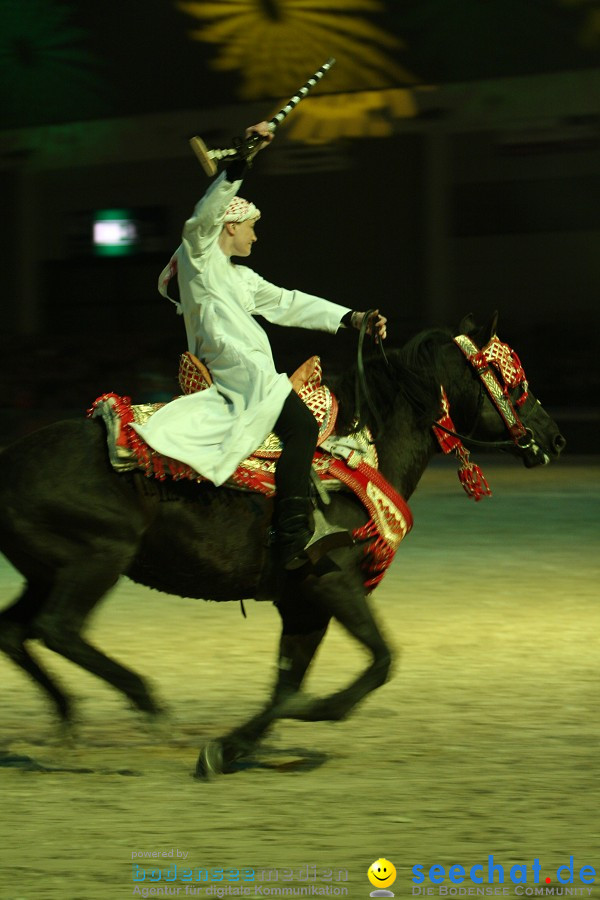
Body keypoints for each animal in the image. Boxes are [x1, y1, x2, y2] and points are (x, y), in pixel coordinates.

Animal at [0, 312, 564, 776]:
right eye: (514, 383)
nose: (554, 439)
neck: (362, 454)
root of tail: (11, 461)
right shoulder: (332, 586)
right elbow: (378, 664)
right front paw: (303, 715)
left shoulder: (302, 606)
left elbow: (287, 684)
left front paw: (227, 748)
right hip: (97, 558)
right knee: (58, 628)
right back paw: (145, 706)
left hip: (47, 570)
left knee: (16, 631)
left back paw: (69, 723)